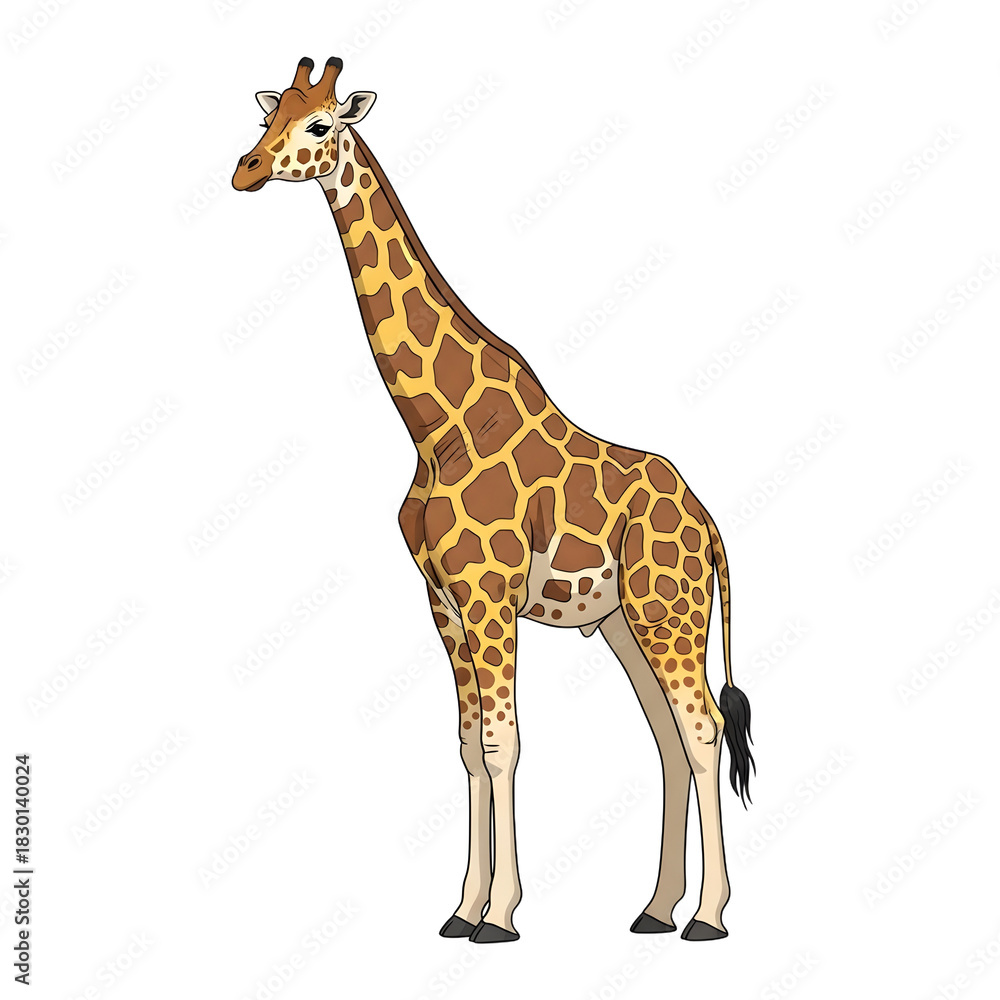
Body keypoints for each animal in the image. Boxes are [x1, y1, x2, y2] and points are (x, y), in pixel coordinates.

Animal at [232, 57, 755, 944]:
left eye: (320, 125)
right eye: (268, 118)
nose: (245, 169)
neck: (435, 426)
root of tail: (710, 522)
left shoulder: (487, 594)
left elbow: (505, 744)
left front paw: (501, 917)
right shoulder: (442, 601)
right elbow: (469, 745)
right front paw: (461, 908)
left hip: (669, 610)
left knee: (703, 730)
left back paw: (710, 917)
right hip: (626, 621)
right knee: (666, 737)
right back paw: (655, 909)